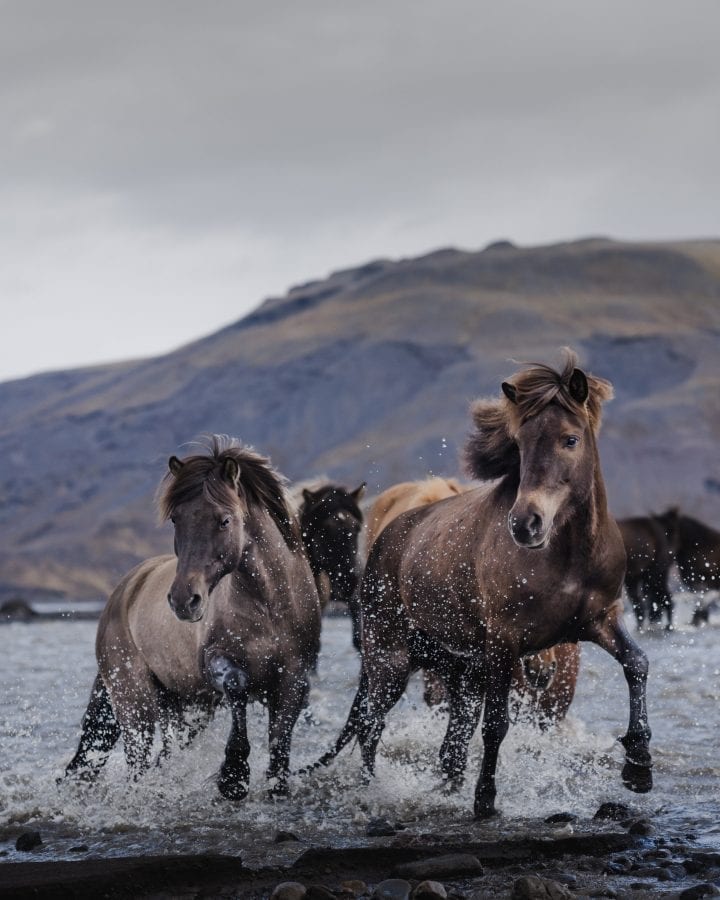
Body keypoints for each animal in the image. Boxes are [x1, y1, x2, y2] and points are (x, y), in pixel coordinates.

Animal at [66, 436, 321, 800]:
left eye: (225, 520)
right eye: (176, 519)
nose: (184, 601)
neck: (270, 606)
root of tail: (125, 588)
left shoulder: (292, 680)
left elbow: (280, 744)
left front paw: (275, 786)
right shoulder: (216, 661)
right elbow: (237, 685)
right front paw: (233, 776)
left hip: (184, 708)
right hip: (134, 703)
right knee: (138, 763)